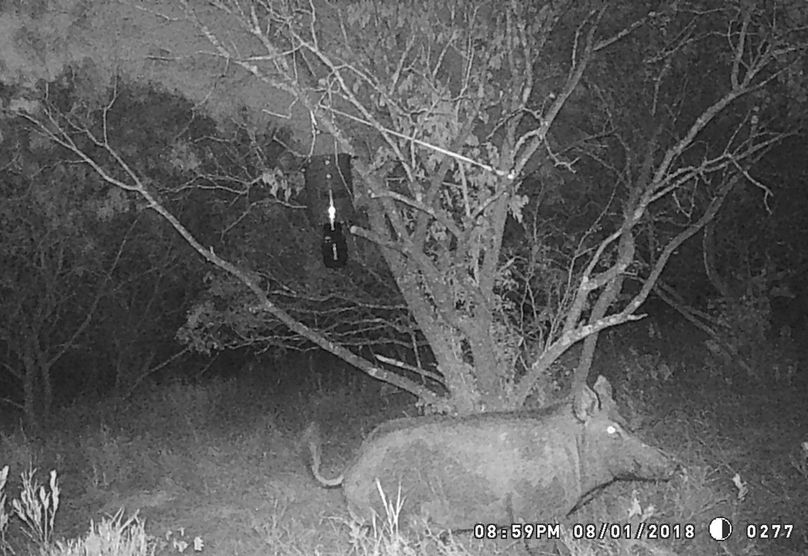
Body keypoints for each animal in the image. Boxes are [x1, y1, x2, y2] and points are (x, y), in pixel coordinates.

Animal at [303, 376, 676, 531]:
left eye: (624, 420)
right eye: (612, 430)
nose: (673, 464)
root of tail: (351, 466)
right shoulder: (533, 512)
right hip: (389, 516)